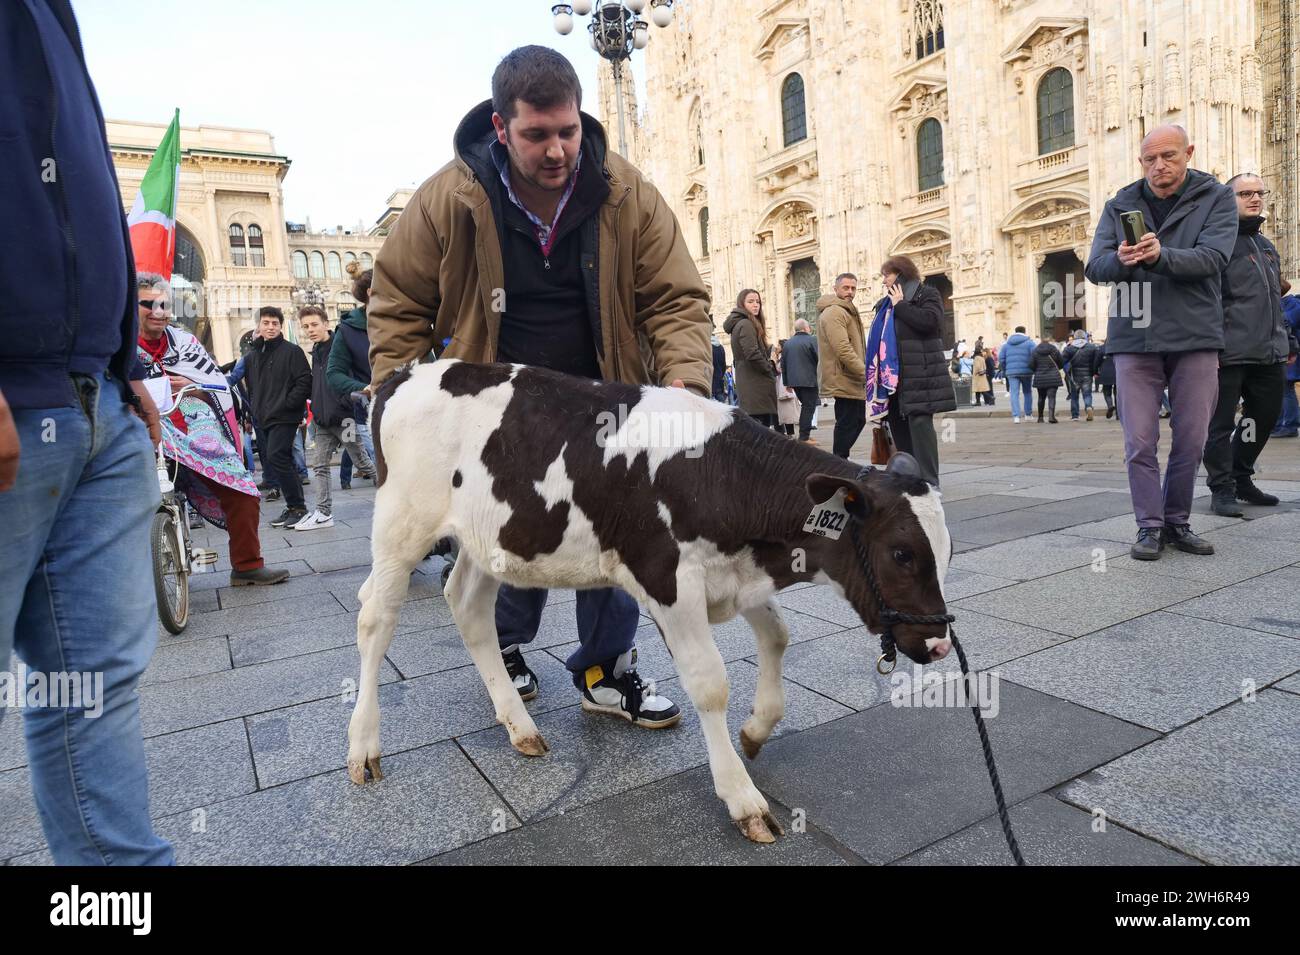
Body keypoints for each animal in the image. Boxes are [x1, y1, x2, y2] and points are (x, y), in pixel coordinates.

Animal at [351, 361, 951, 841]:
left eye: (945, 553)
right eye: (901, 553)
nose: (940, 643)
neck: (719, 474)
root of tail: (405, 374)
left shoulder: (736, 575)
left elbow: (778, 637)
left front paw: (756, 731)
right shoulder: (667, 579)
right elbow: (710, 685)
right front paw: (743, 798)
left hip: (487, 538)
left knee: (470, 608)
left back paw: (519, 726)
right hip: (401, 525)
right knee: (375, 618)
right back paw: (363, 748)